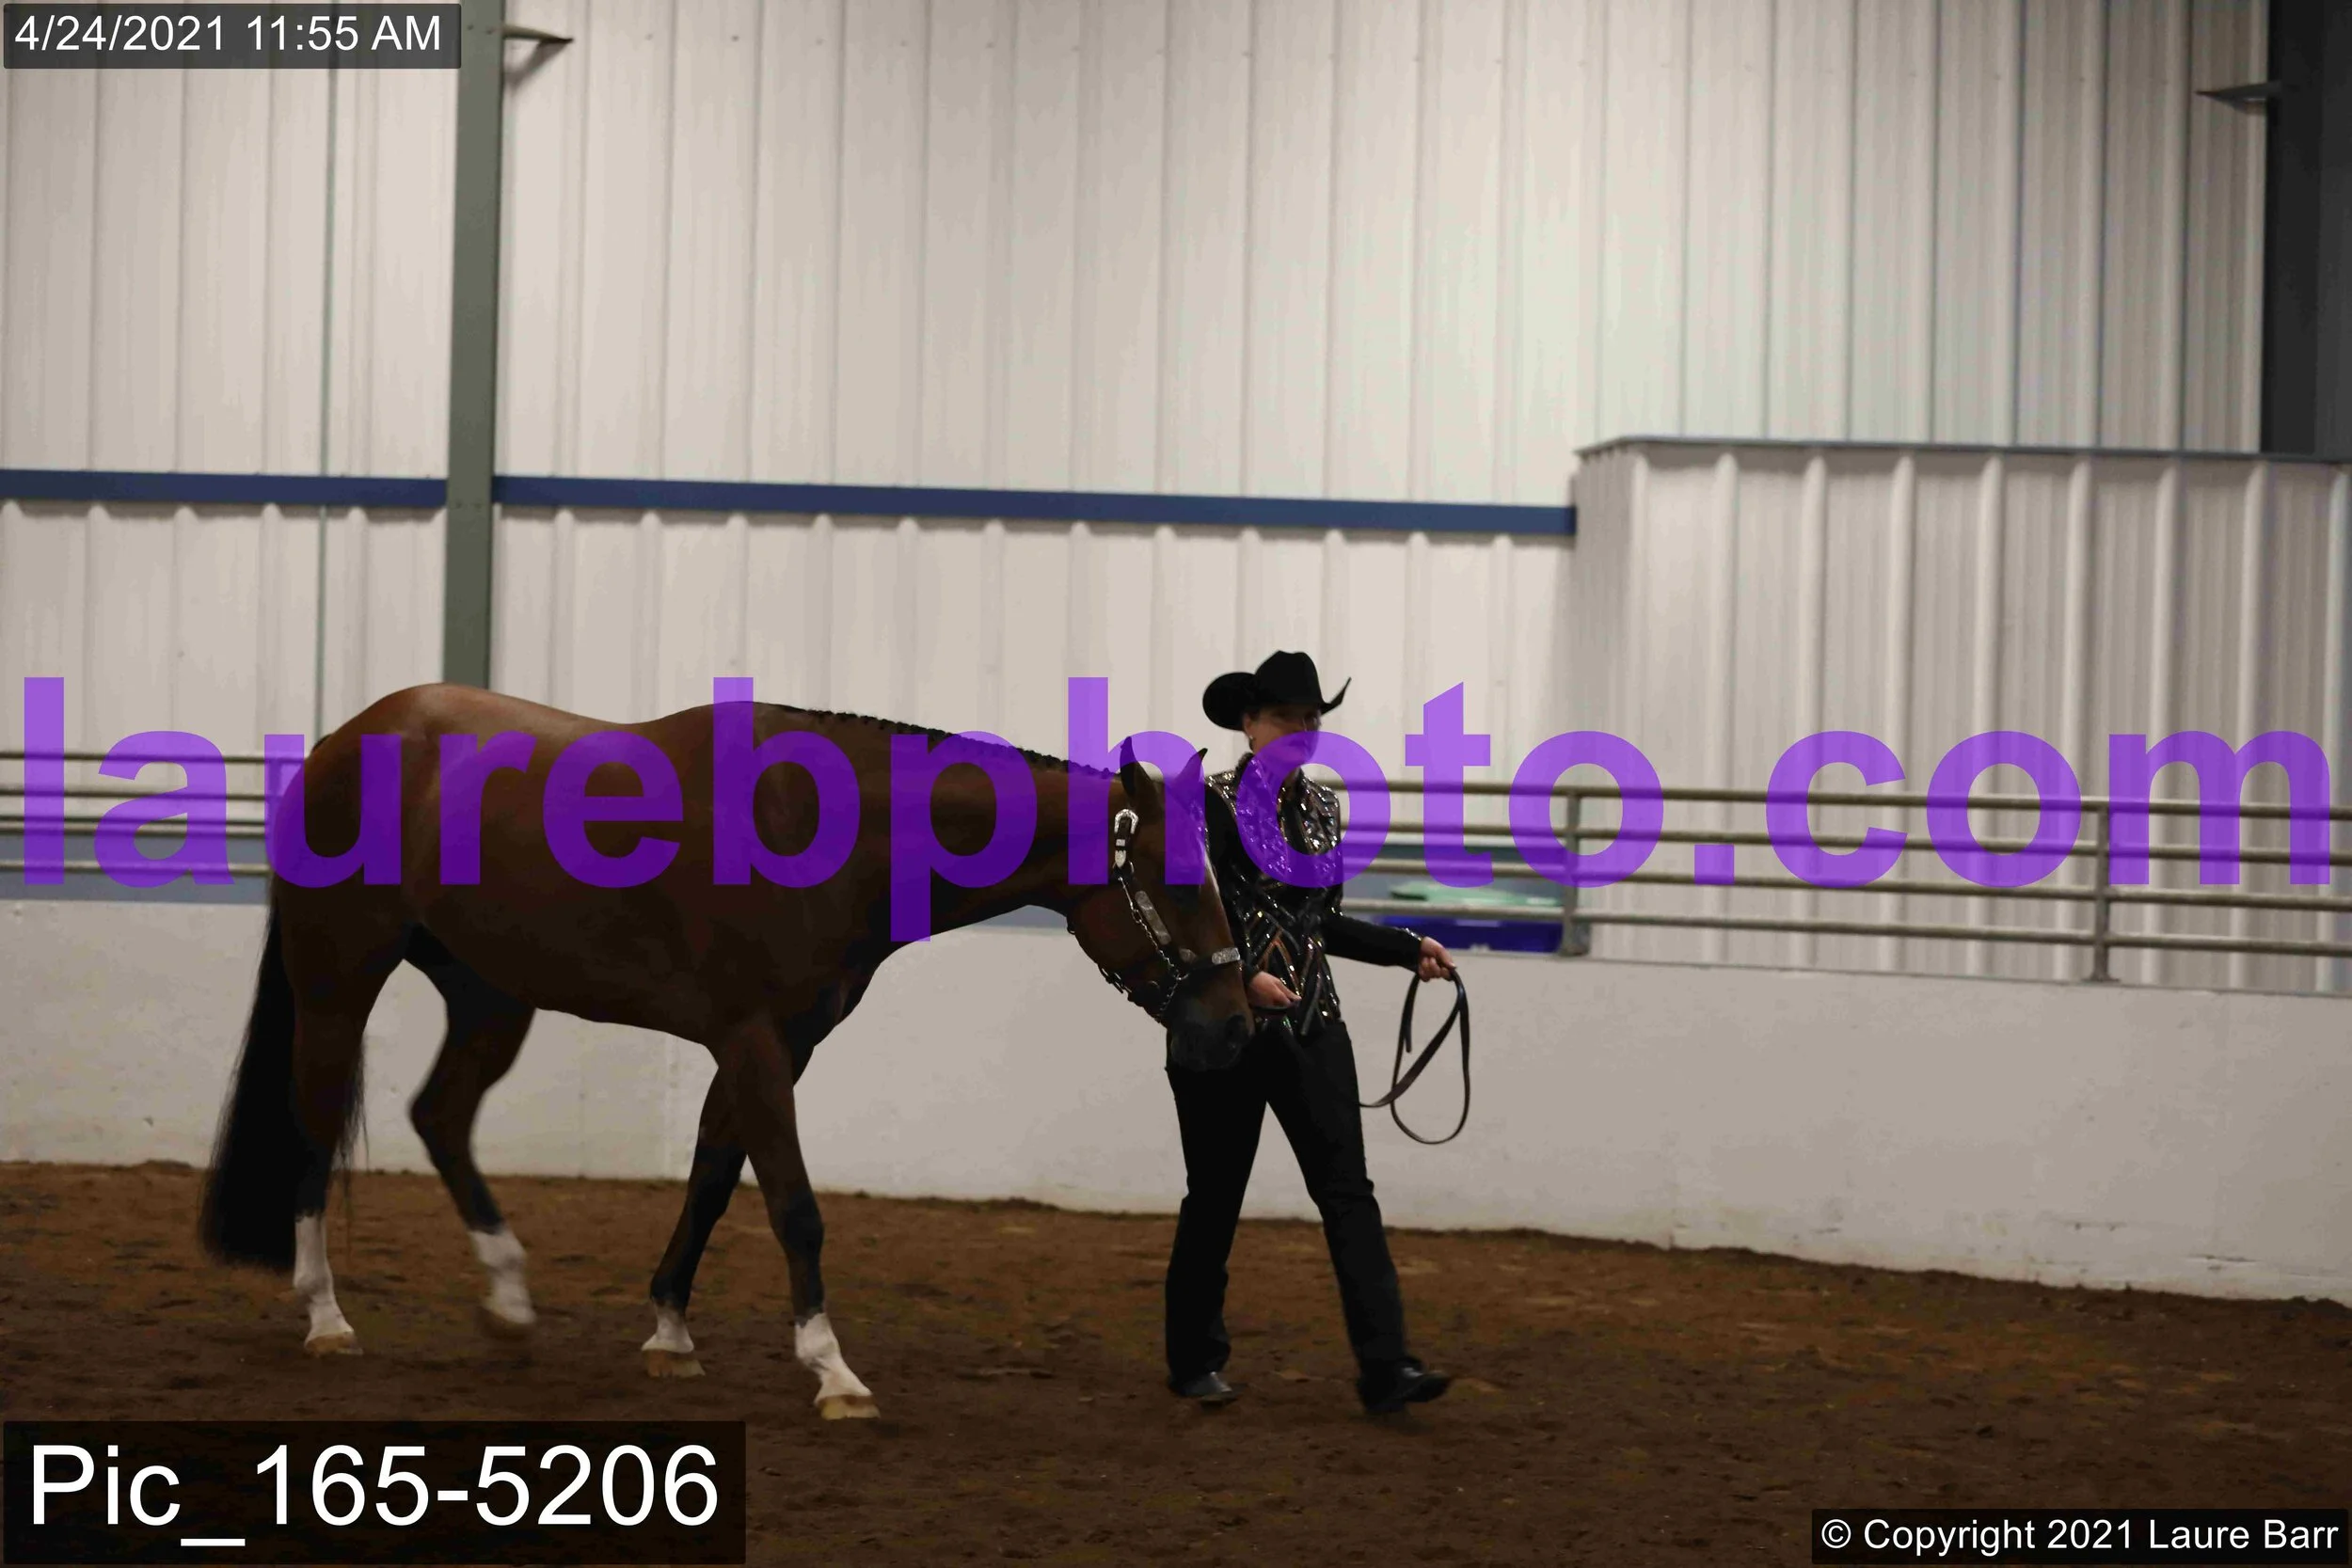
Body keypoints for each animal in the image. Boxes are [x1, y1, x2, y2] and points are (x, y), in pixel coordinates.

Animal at [198, 682, 1252, 1419]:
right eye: (1175, 880)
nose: (1240, 1021)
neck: (820, 833)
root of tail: (343, 740)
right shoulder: (753, 1040)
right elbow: (793, 1205)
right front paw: (833, 1370)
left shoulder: (776, 1045)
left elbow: (711, 1178)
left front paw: (670, 1334)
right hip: (338, 981)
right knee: (317, 1118)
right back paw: (326, 1314)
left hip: (490, 993)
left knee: (440, 1115)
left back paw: (508, 1299)